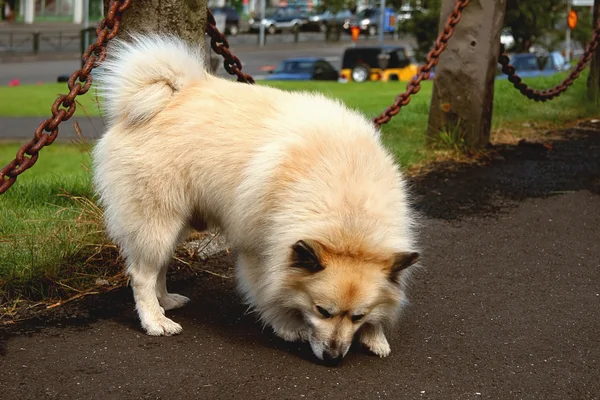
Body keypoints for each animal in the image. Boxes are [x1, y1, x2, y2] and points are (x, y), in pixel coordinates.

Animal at [95, 34, 422, 364]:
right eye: (321, 311)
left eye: (357, 317)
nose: (332, 357)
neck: (349, 215)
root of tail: (166, 97)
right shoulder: (261, 250)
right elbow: (269, 293)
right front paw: (287, 327)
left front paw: (374, 335)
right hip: (157, 222)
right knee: (142, 275)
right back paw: (155, 320)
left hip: (173, 224)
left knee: (158, 268)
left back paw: (165, 301)